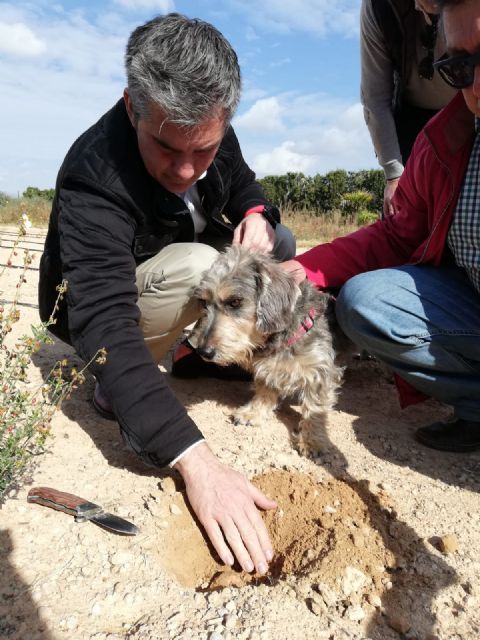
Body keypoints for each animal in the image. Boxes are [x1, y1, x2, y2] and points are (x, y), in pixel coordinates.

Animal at [188, 244, 344, 456]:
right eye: (204, 303)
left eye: (235, 302)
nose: (204, 352)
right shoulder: (267, 367)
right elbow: (265, 388)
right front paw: (253, 412)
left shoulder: (319, 371)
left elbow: (315, 408)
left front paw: (312, 440)